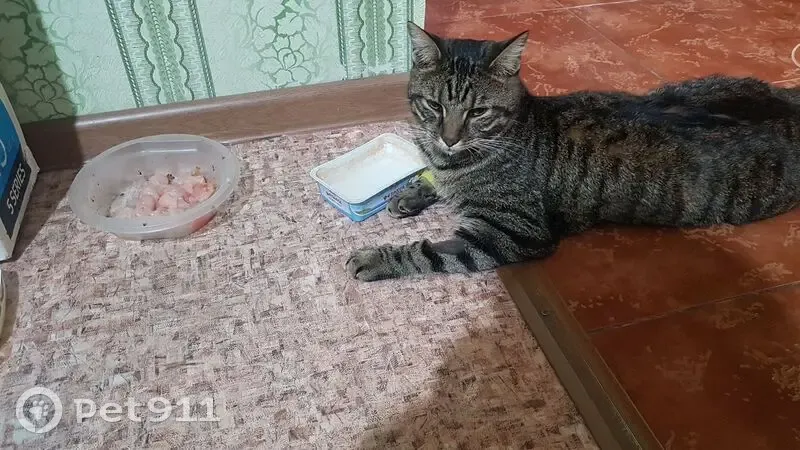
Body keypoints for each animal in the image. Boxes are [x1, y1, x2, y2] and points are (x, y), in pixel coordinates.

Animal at [346, 22, 800, 282]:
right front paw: (410, 192)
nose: (449, 138)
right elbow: (430, 178)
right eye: (435, 106)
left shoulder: (512, 235)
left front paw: (376, 258)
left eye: (477, 112)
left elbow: (430, 253)